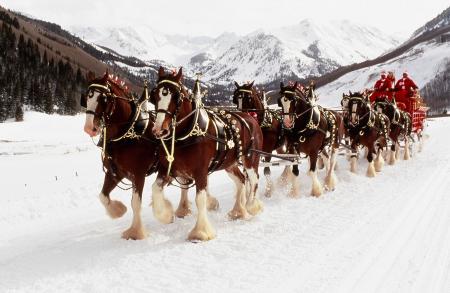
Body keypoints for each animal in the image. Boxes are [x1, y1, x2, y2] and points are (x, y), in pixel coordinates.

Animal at [151, 67, 264, 241]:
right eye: (155, 95)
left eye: (176, 96)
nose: (159, 130)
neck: (187, 133)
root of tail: (250, 118)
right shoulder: (168, 168)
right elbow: (155, 189)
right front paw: (166, 214)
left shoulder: (201, 171)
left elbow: (200, 199)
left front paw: (201, 232)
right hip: (229, 163)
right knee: (241, 180)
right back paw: (238, 211)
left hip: (251, 159)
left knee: (253, 179)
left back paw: (251, 206)